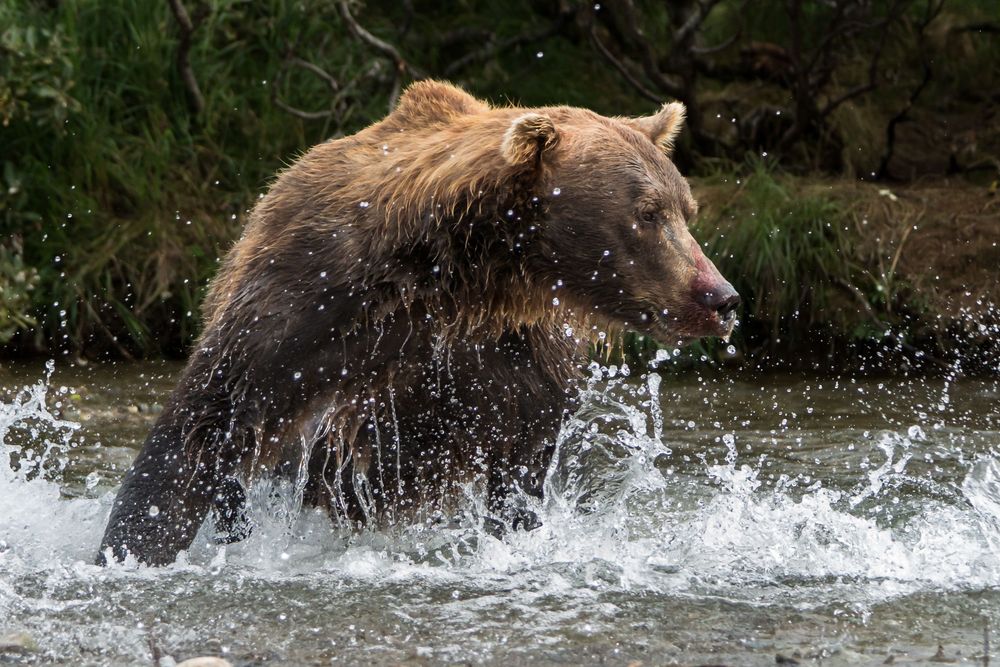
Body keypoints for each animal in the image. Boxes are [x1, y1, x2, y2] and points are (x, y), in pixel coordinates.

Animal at [96, 81, 739, 566]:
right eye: (648, 213)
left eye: (686, 209)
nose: (722, 297)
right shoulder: (304, 311)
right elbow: (200, 432)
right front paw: (128, 549)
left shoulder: (513, 361)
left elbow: (521, 470)